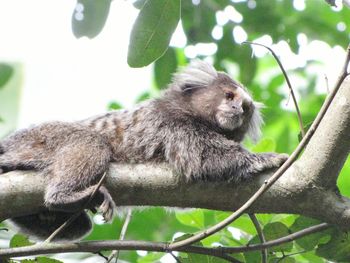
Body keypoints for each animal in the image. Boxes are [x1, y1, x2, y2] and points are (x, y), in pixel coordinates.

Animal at [0, 60, 288, 241]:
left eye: (246, 107)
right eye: (229, 96)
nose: (237, 109)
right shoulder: (172, 123)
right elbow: (203, 158)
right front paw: (267, 159)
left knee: (79, 227)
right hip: (42, 139)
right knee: (90, 142)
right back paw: (66, 197)